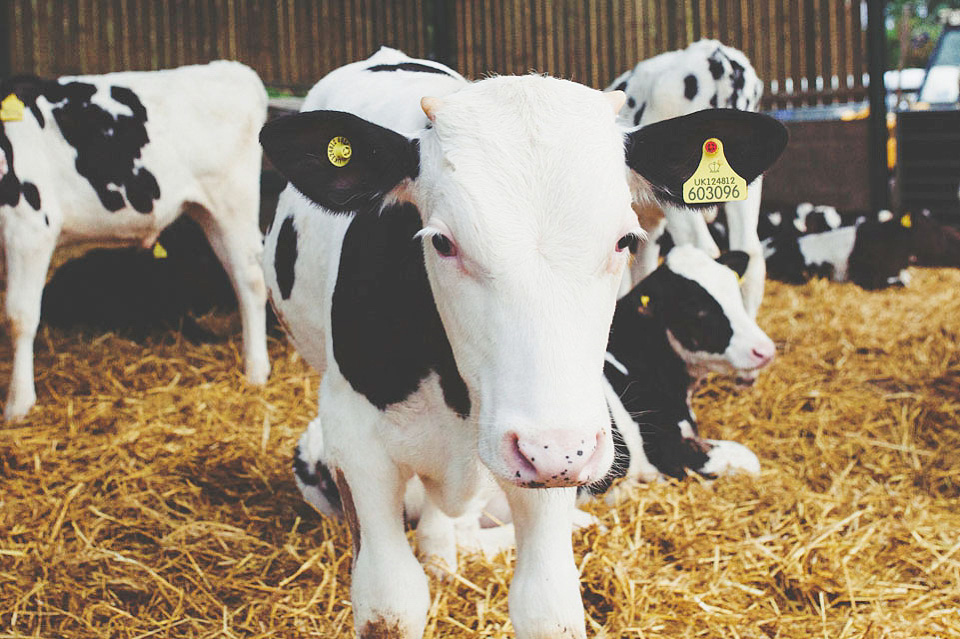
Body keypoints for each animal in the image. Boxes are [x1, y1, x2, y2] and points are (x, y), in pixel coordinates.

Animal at [0, 61, 270, 420]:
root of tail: (230, 69)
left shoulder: (29, 227)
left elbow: (20, 316)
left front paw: (18, 404)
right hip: (207, 213)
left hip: (233, 204)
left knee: (250, 282)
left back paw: (256, 371)